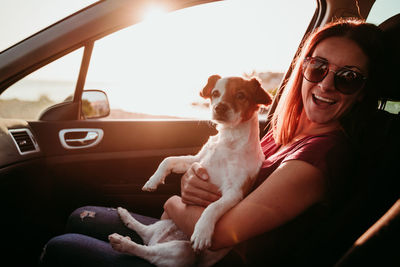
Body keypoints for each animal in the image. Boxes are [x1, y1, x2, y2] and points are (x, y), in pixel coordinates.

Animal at [109, 74, 272, 266]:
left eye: (241, 95)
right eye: (215, 93)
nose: (219, 107)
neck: (228, 140)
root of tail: (155, 240)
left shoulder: (235, 192)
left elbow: (214, 207)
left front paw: (202, 232)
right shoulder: (196, 161)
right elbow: (168, 160)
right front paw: (153, 180)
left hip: (180, 251)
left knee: (144, 251)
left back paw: (122, 242)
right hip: (162, 226)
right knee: (141, 229)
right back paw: (124, 215)